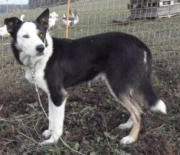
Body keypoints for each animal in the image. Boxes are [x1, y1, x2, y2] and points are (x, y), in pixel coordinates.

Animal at [4, 9, 167, 145]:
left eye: (41, 35)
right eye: (25, 36)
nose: (40, 48)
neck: (38, 61)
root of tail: (140, 43)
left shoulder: (59, 95)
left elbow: (57, 123)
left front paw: (53, 140)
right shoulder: (52, 95)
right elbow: (51, 117)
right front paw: (49, 132)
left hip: (118, 85)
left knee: (138, 111)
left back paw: (131, 138)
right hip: (127, 85)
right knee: (136, 108)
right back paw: (128, 124)